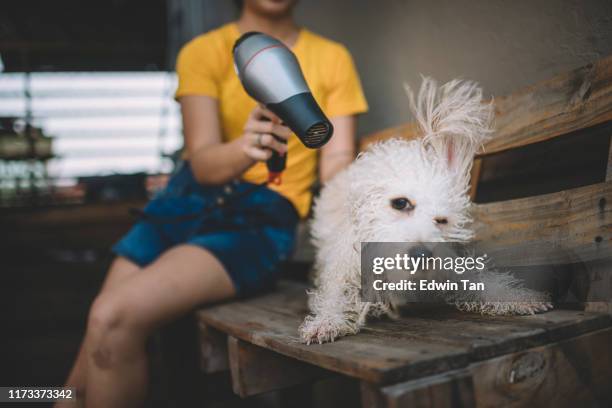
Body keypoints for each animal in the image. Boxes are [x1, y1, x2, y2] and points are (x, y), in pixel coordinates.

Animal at [298, 77, 552, 344]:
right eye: (401, 203)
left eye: (441, 220)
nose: (421, 255)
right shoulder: (346, 268)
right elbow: (335, 296)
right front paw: (326, 322)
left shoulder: (450, 265)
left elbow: (481, 282)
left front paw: (518, 298)